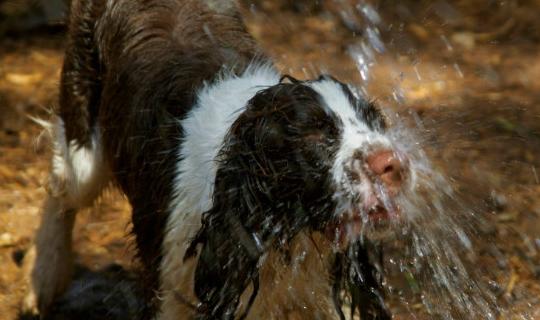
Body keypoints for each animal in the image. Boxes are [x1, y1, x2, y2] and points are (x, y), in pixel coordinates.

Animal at [20, 1, 410, 318]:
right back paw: (43, 280)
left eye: (375, 122)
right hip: (84, 143)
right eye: (316, 136)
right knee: (62, 185)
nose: (394, 165)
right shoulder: (172, 289)